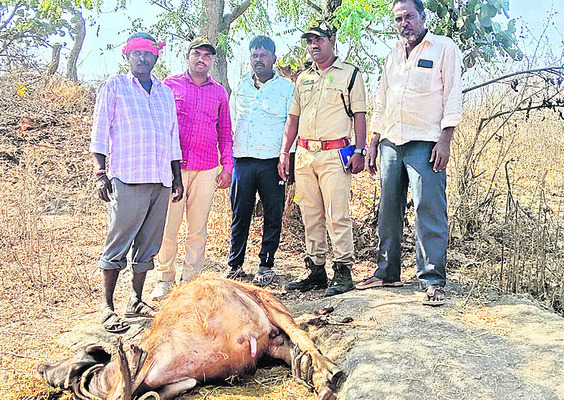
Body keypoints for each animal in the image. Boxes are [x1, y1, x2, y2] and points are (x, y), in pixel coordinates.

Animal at [37, 276, 344, 400]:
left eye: (72, 357)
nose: (41, 367)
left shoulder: (152, 358)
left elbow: (125, 387)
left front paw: (128, 359)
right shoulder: (184, 382)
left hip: (272, 305)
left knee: (304, 338)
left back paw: (331, 374)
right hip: (273, 343)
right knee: (292, 349)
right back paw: (312, 377)